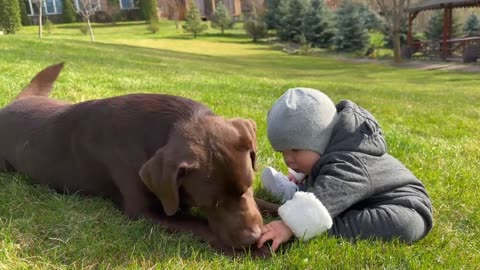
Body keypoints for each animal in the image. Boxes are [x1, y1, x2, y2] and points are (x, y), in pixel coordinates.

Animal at [0, 63, 278, 255]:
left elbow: (265, 204)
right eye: (210, 203)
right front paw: (259, 250)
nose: (252, 238)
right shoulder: (143, 211)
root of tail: (12, 104)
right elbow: (200, 224)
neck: (160, 131)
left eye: (248, 187)